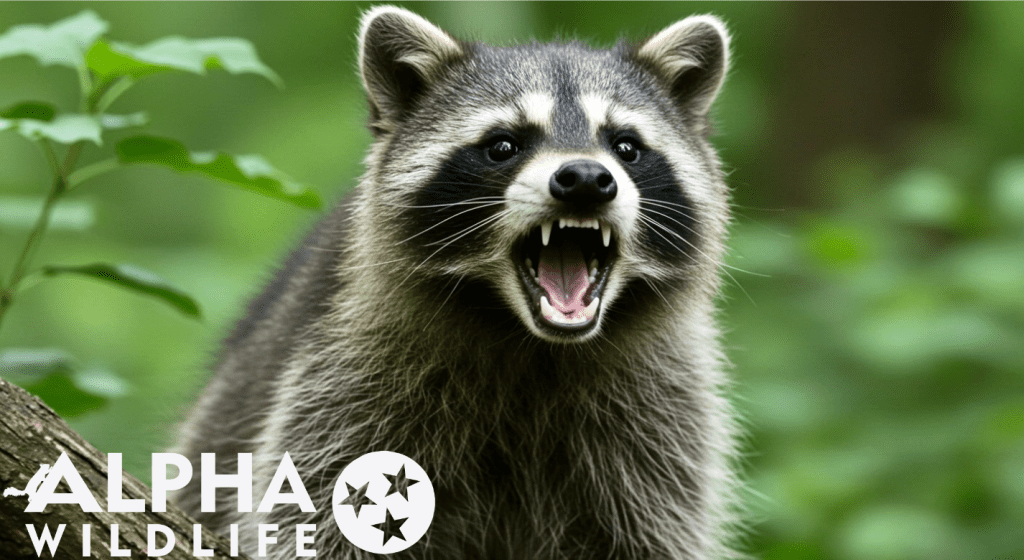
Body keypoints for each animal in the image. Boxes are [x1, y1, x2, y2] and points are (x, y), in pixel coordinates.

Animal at [173, 6, 740, 559]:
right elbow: (317, 513)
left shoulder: (661, 408)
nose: (584, 179)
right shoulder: (344, 378)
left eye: (626, 146)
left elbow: (647, 529)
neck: (532, 342)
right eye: (504, 145)